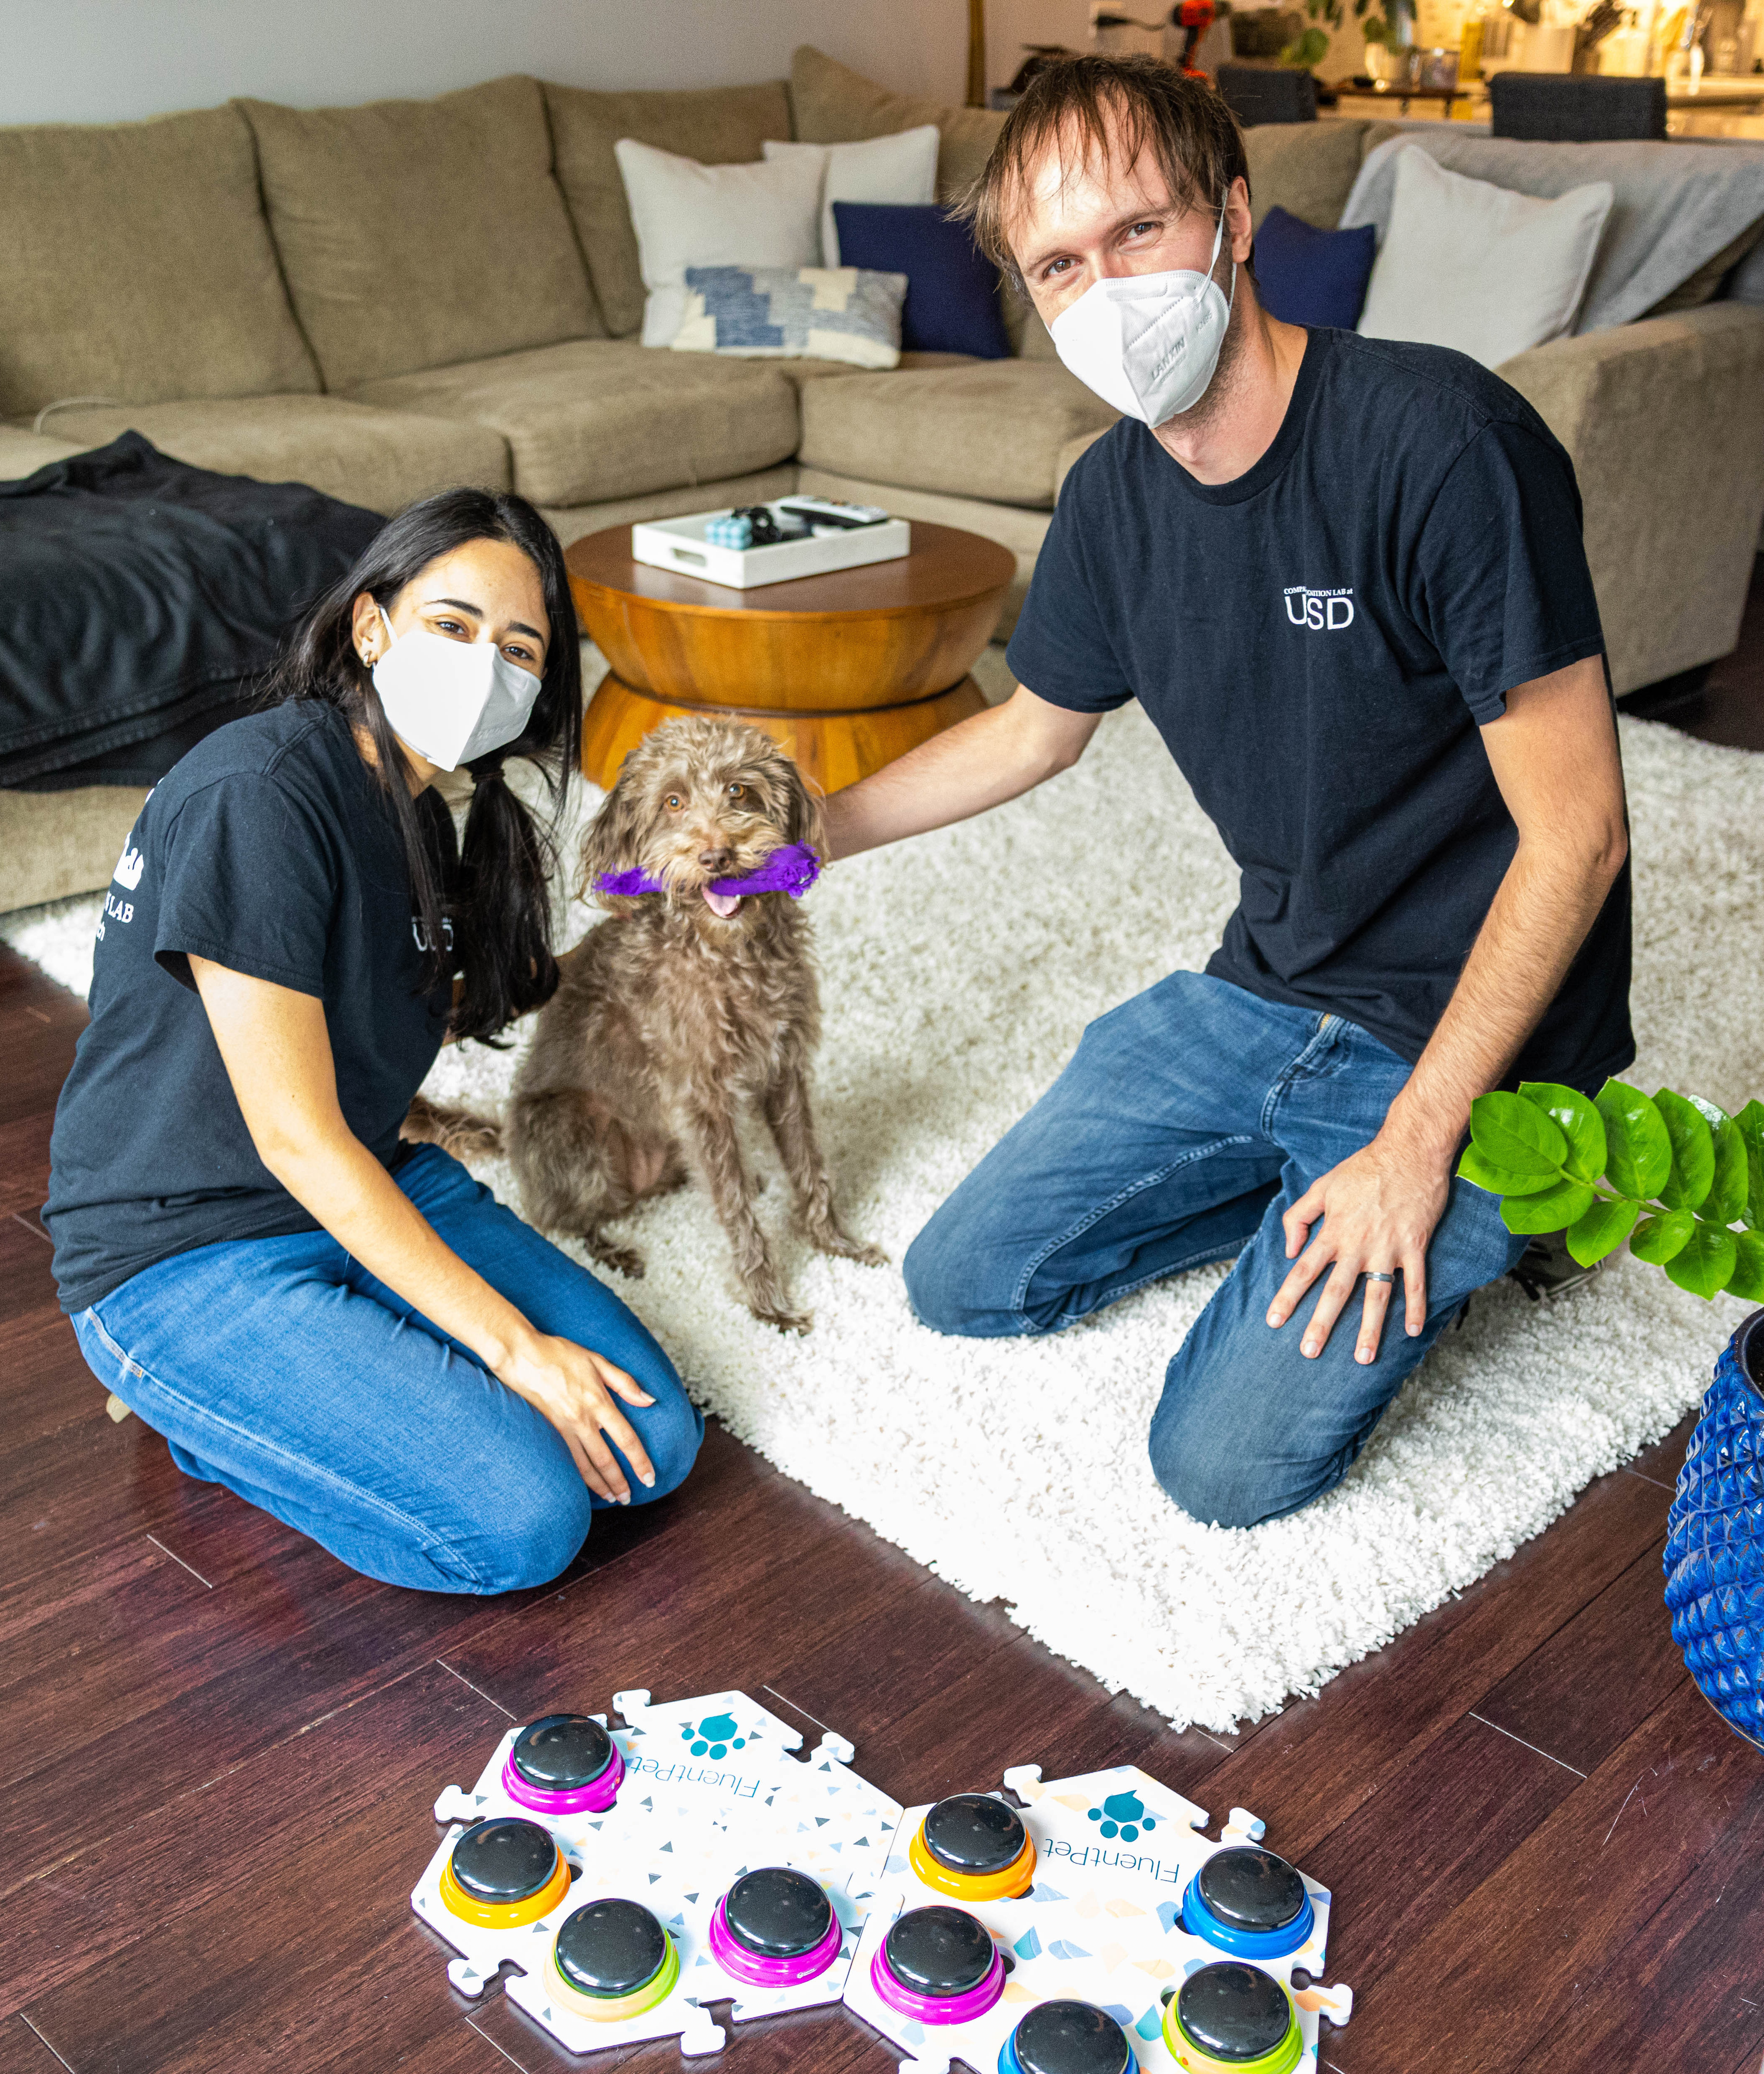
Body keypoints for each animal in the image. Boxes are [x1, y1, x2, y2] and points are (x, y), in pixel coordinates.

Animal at [508, 713, 879, 1327]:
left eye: (739, 790)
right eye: (673, 801)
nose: (716, 857)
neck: (728, 953)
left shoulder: (783, 1067)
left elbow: (808, 1165)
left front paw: (834, 1243)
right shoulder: (700, 1098)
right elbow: (734, 1212)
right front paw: (769, 1306)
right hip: (566, 1125)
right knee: (568, 1221)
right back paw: (612, 1250)